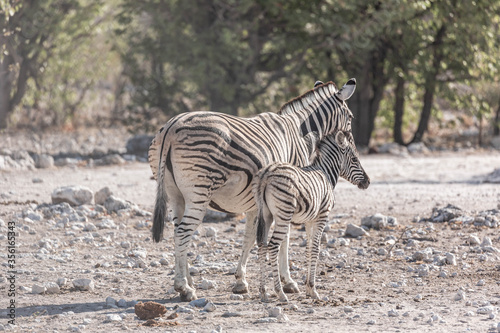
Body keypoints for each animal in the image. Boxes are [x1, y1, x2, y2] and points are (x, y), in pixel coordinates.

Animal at [256, 131, 370, 302]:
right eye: (355, 159)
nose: (368, 182)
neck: (326, 173)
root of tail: (267, 174)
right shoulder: (322, 216)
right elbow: (316, 248)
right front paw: (313, 289)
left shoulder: (309, 220)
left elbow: (309, 248)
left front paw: (308, 289)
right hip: (283, 215)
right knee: (273, 246)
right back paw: (280, 292)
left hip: (266, 215)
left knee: (262, 246)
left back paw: (263, 292)